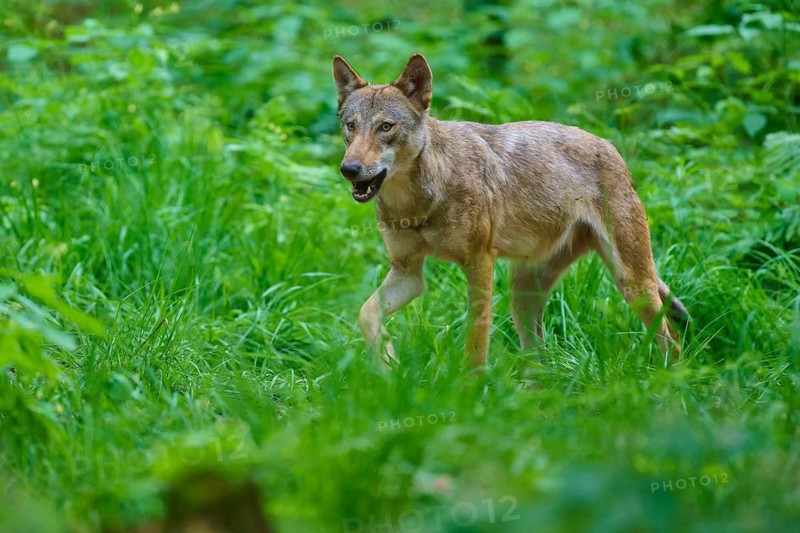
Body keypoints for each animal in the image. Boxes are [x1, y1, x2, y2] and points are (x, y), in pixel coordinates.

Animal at [333, 53, 688, 367]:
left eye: (386, 127)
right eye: (351, 126)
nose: (349, 169)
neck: (416, 204)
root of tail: (611, 146)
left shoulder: (479, 263)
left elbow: (476, 341)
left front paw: (470, 388)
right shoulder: (408, 273)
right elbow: (366, 313)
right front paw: (386, 362)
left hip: (632, 283)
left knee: (671, 338)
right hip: (523, 297)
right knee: (539, 360)